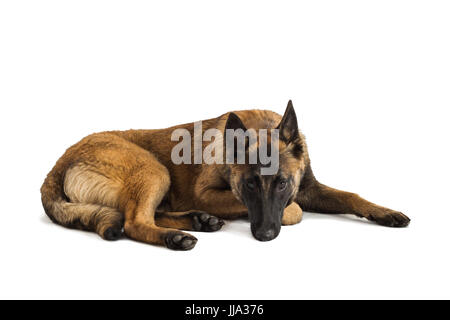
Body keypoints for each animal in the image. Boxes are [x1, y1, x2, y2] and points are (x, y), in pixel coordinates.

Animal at [40, 100, 410, 250]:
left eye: (282, 183)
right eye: (249, 185)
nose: (264, 236)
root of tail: (58, 162)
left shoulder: (309, 188)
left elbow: (351, 197)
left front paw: (386, 212)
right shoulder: (209, 193)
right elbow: (292, 211)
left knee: (148, 213)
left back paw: (197, 221)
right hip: (152, 168)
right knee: (134, 221)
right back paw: (175, 237)